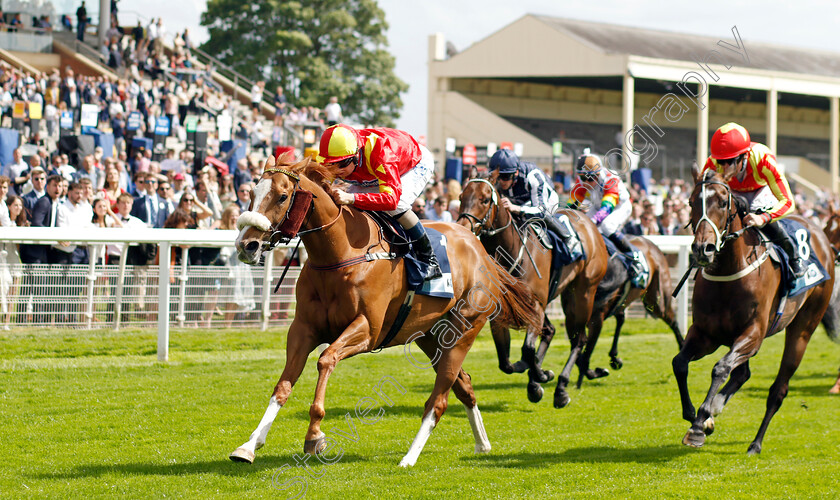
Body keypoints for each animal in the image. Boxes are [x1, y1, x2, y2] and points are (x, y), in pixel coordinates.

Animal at [231, 155, 544, 464]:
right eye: (251, 194)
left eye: (283, 196)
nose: (247, 245)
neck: (340, 254)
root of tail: (480, 249)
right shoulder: (303, 329)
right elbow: (283, 386)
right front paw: (248, 445)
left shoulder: (368, 329)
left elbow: (326, 359)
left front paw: (315, 435)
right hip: (430, 337)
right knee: (464, 385)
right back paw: (482, 444)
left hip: (463, 331)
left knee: (439, 400)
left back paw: (409, 457)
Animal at [456, 174, 608, 408]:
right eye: (461, 197)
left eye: (484, 199)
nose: (463, 226)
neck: (511, 252)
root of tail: (590, 225)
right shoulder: (501, 313)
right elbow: (506, 361)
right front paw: (535, 376)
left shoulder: (536, 306)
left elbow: (527, 349)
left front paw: (542, 375)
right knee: (552, 331)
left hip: (583, 293)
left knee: (578, 339)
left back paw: (561, 388)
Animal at [576, 235, 684, 390]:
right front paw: (594, 371)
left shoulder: (597, 316)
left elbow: (586, 350)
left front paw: (593, 372)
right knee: (621, 318)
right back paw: (614, 358)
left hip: (656, 299)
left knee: (672, 319)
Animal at [668, 166, 832, 456]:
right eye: (689, 202)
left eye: (723, 202)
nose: (702, 249)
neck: (728, 272)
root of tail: (822, 235)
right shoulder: (706, 334)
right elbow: (679, 363)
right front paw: (694, 415)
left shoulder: (753, 334)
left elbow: (720, 368)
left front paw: (699, 424)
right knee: (743, 373)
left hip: (804, 327)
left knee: (778, 389)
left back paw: (755, 443)